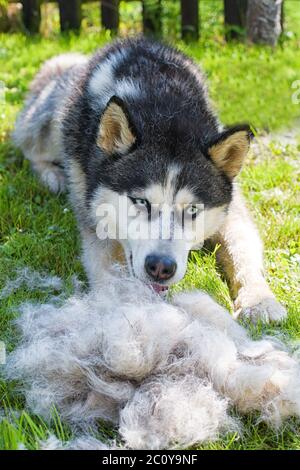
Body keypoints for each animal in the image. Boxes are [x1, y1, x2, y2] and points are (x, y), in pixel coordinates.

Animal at [13, 36, 286, 324]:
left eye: (192, 210)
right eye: (141, 201)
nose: (161, 267)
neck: (164, 112)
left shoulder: (230, 209)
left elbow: (242, 249)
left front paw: (260, 299)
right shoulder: (94, 215)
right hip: (51, 124)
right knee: (31, 148)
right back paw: (53, 175)